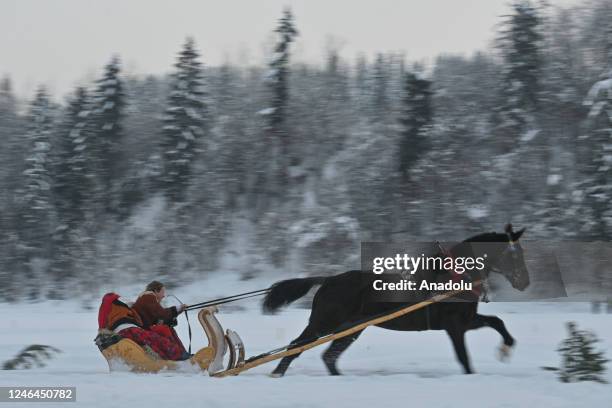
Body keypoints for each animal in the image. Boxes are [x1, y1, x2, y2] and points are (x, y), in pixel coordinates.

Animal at [262, 223, 532, 376]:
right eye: (514, 255)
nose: (525, 282)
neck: (455, 275)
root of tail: (329, 280)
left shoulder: (465, 321)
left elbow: (496, 321)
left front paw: (506, 347)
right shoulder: (454, 326)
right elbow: (464, 358)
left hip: (349, 330)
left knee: (328, 356)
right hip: (323, 323)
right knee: (296, 346)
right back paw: (276, 374)